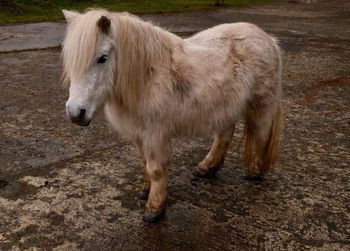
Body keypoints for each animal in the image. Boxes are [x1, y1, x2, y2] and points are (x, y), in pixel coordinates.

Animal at [61, 9, 284, 222]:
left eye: (102, 58)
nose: (75, 113)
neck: (148, 76)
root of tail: (269, 40)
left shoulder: (155, 134)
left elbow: (155, 169)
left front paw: (154, 209)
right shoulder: (140, 135)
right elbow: (145, 163)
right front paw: (146, 191)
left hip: (261, 105)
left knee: (262, 135)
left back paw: (255, 172)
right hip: (225, 107)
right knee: (224, 136)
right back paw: (206, 168)